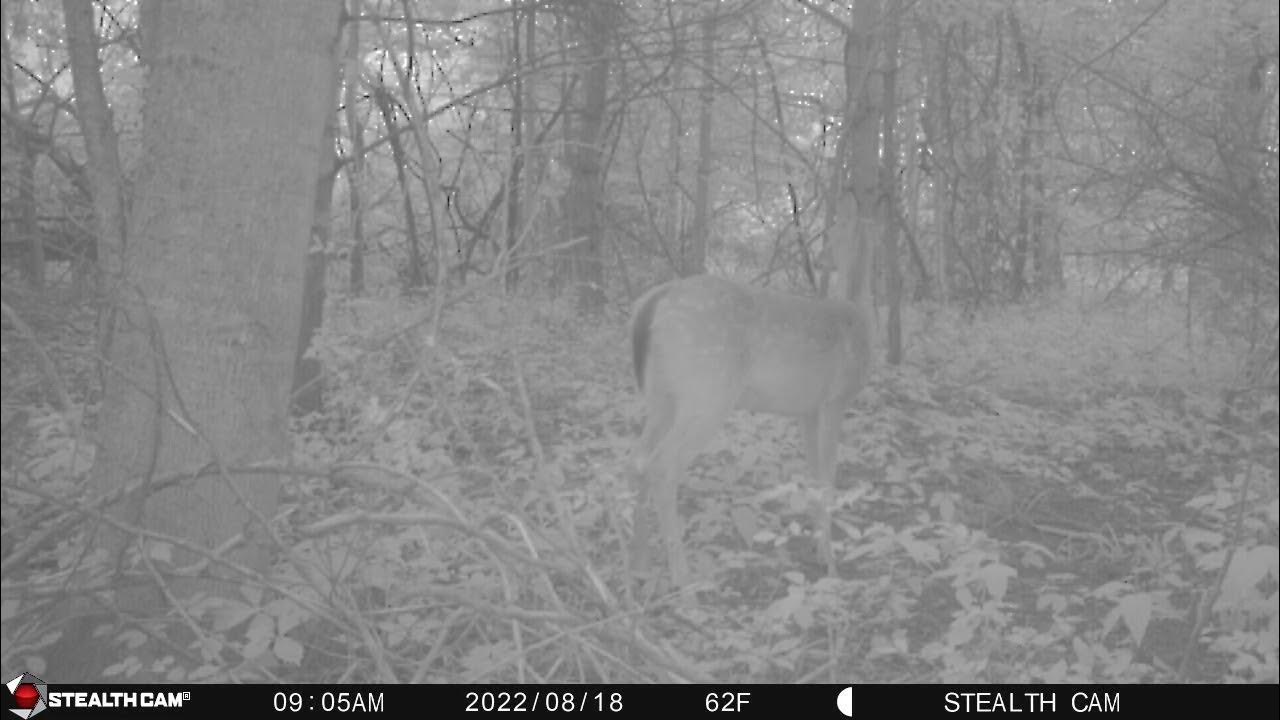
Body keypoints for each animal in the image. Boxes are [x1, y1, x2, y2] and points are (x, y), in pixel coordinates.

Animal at [627, 237, 876, 587]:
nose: (821, 260)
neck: (856, 311)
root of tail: (652, 303)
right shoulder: (834, 400)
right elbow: (827, 479)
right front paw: (831, 566)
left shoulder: (807, 411)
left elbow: (813, 475)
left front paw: (817, 551)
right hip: (708, 391)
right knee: (662, 465)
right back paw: (684, 581)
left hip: (661, 396)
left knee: (637, 459)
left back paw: (639, 564)